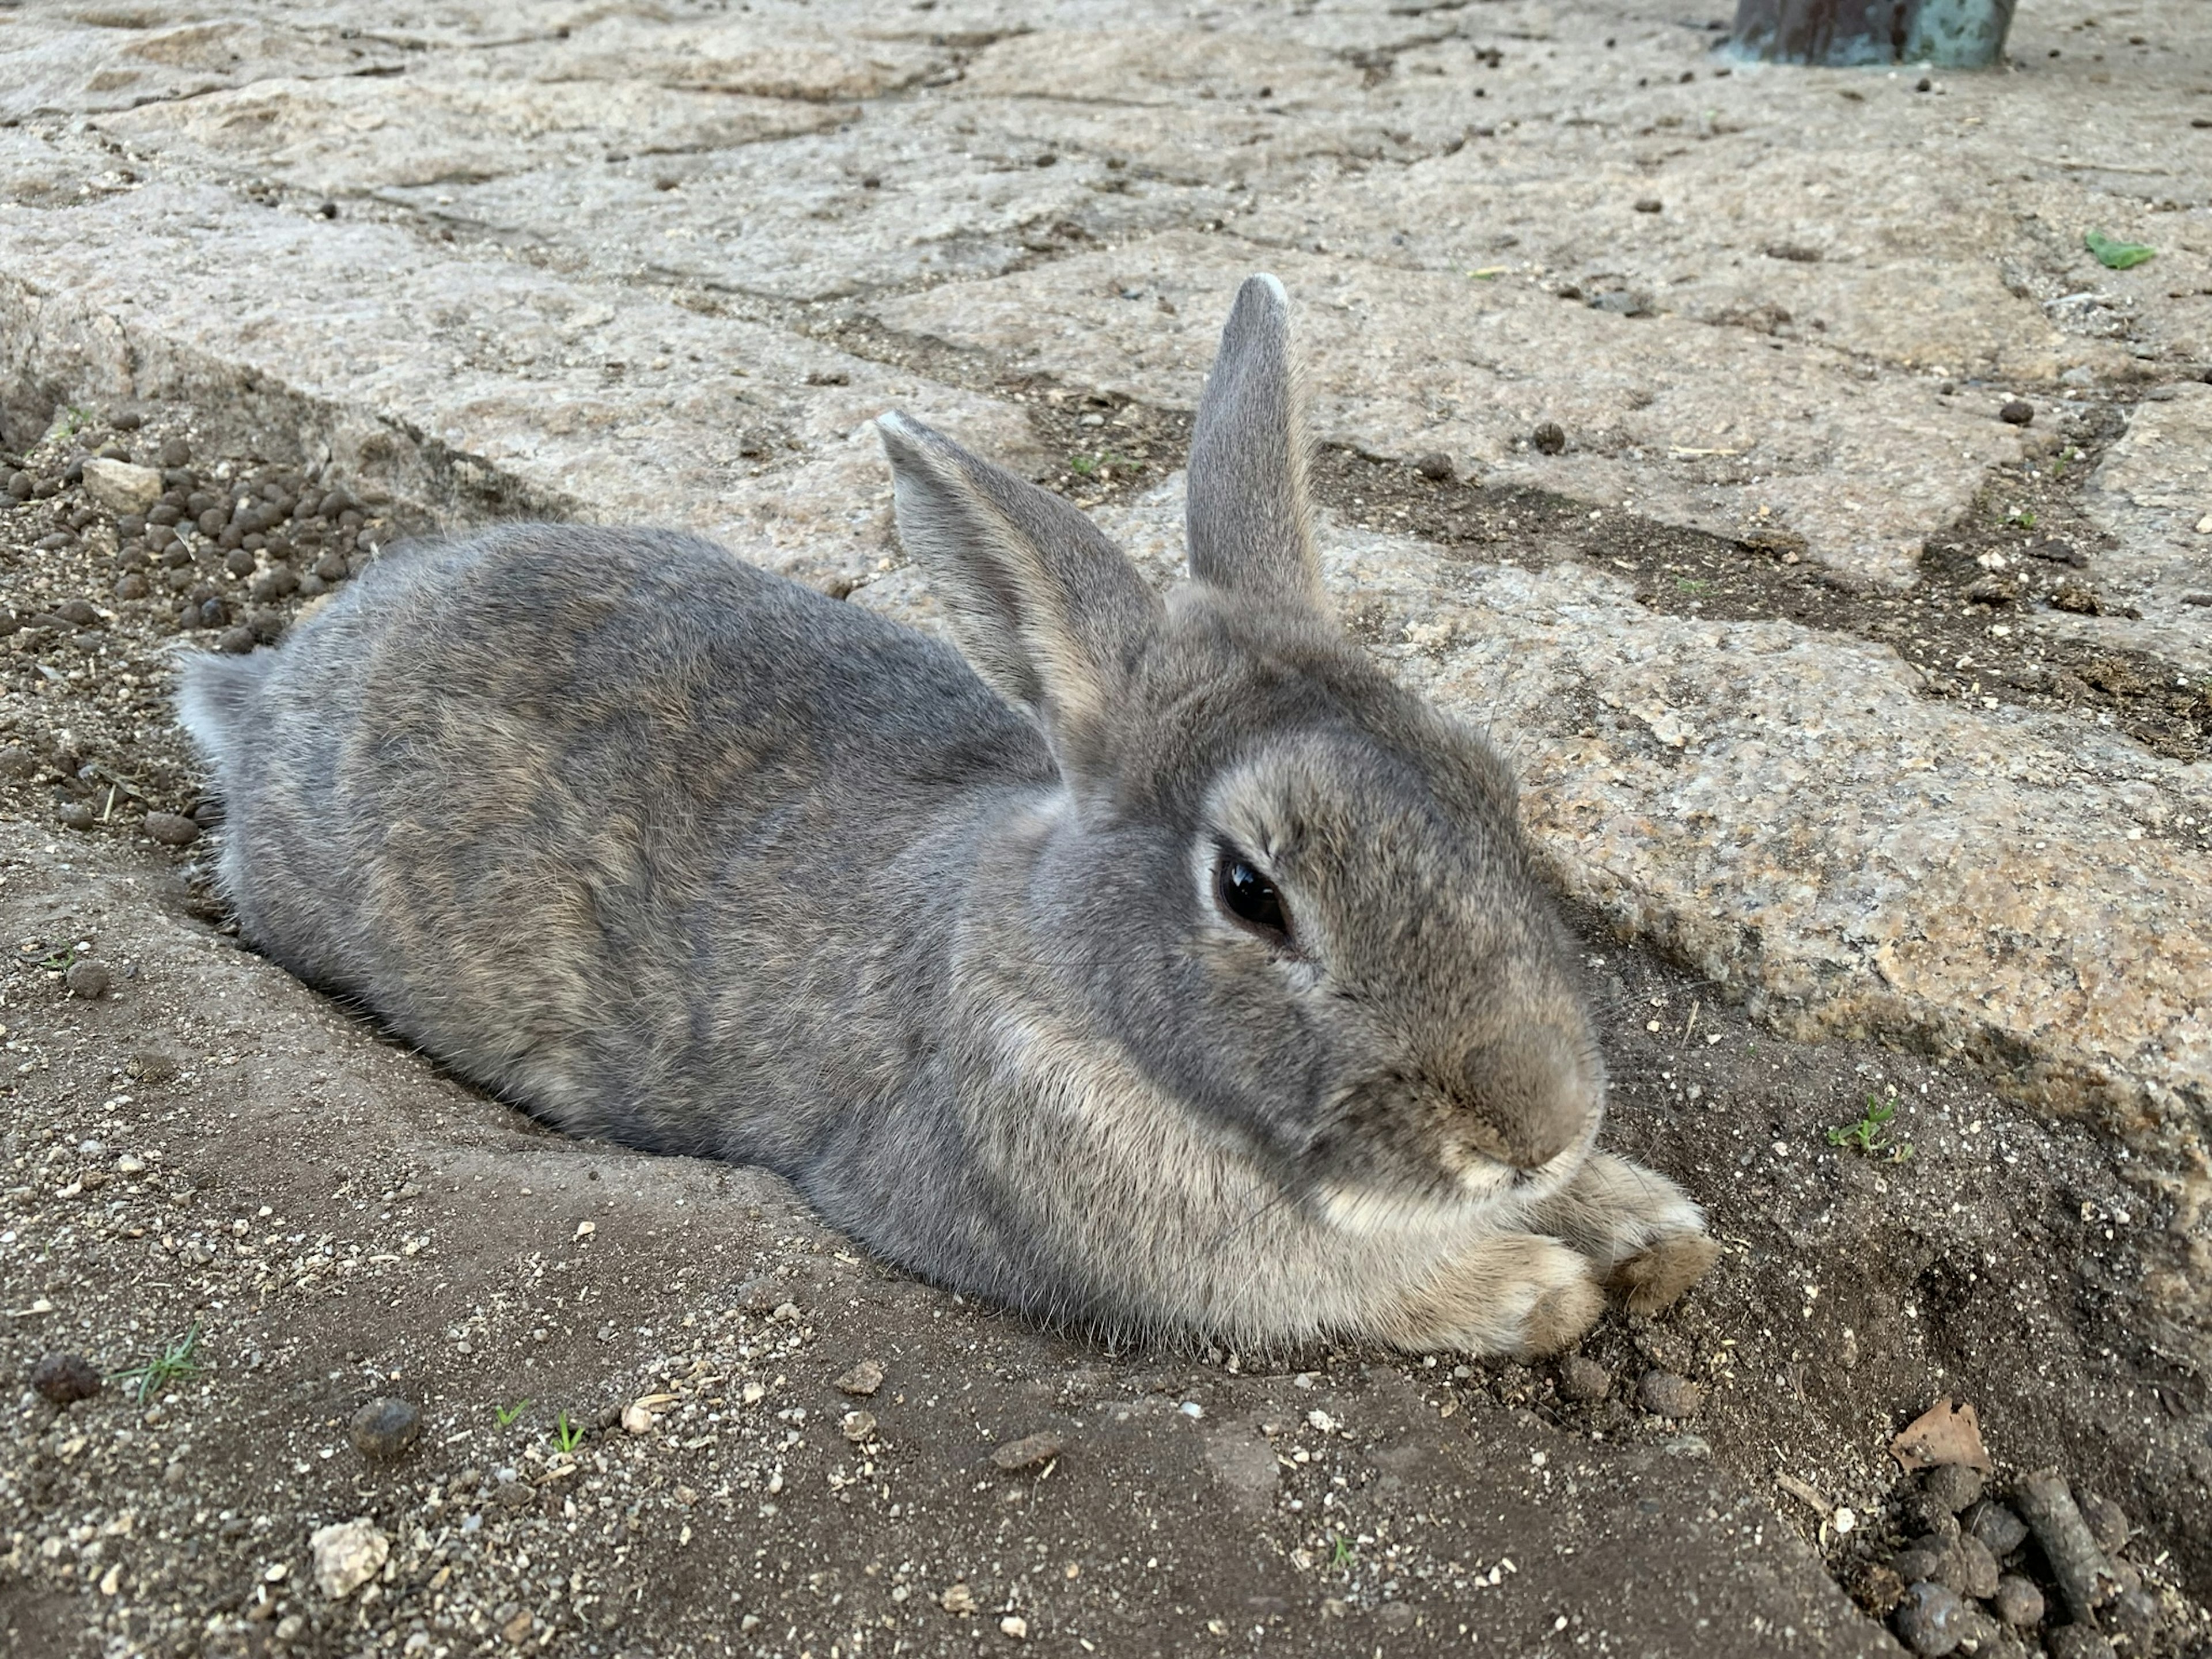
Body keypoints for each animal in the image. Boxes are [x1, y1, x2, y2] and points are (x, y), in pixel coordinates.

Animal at [185, 273, 1707, 1354]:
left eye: (1489, 784)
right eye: (1250, 891)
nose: (1535, 1126)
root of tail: (258, 695)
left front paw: (1653, 1224)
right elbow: (1358, 1296)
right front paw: (1542, 1290)